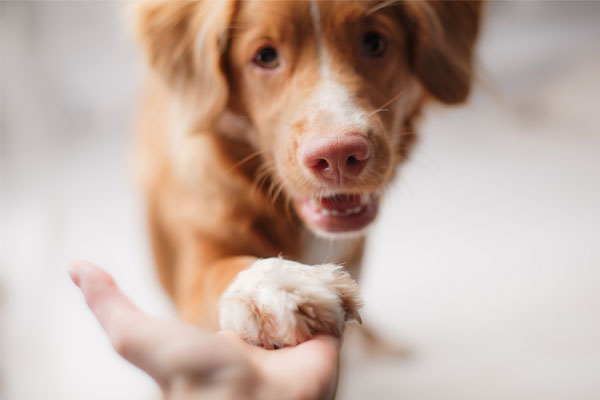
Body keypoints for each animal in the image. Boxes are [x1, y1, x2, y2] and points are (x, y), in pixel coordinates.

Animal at [132, 0, 482, 348]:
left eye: (374, 43)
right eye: (266, 56)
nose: (337, 155)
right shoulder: (193, 264)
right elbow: (217, 271)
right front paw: (276, 284)